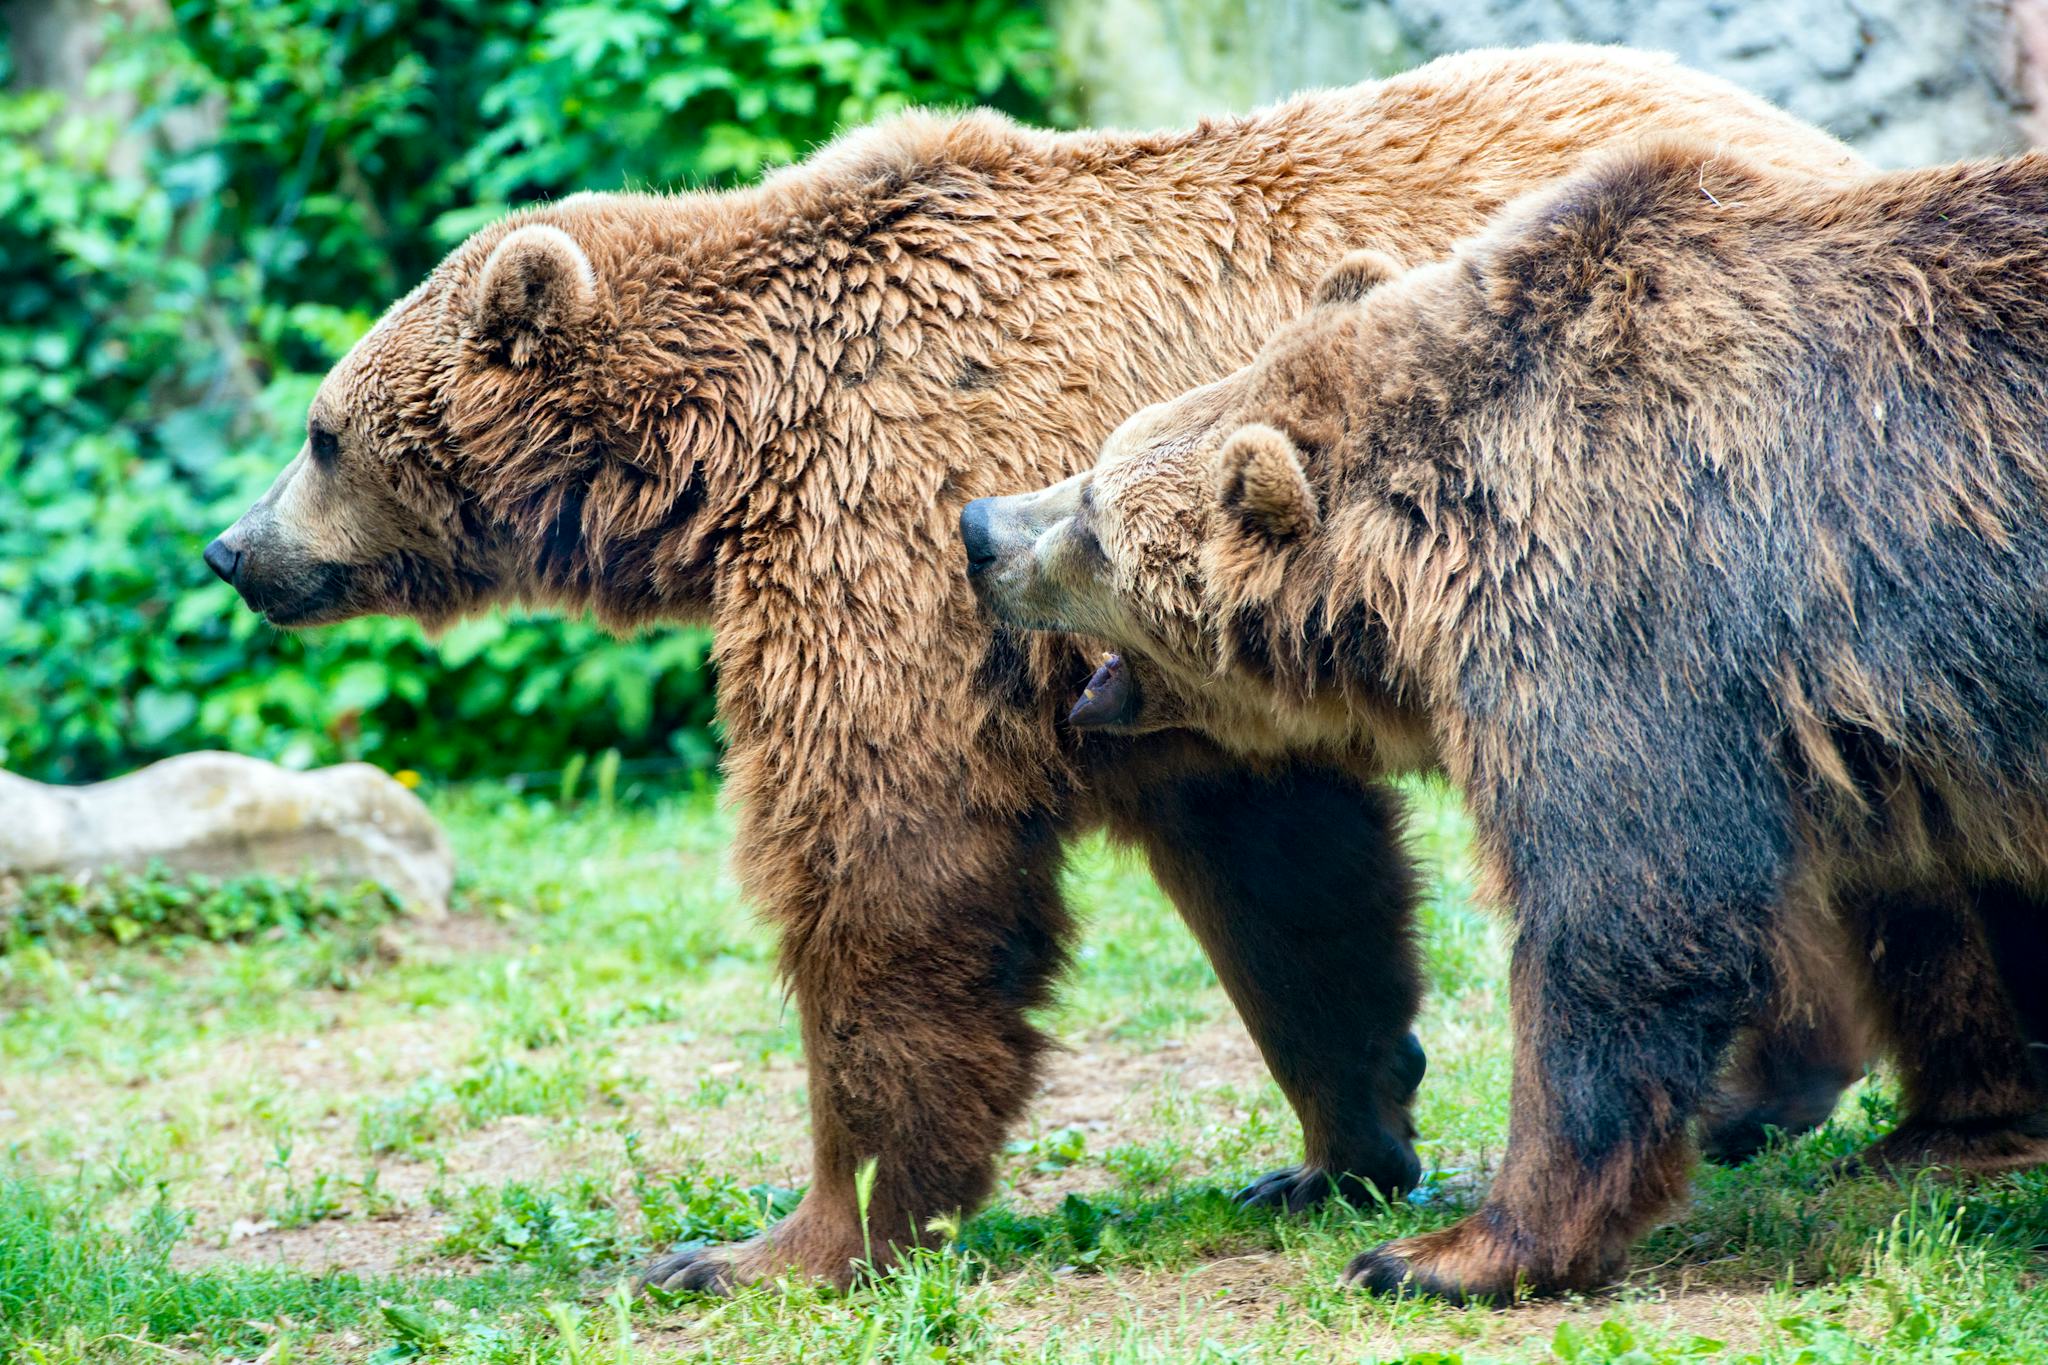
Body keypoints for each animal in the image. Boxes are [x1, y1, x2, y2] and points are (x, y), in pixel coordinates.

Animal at [211, 45, 1875, 1293]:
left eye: (319, 430)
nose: (236, 550)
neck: (725, 446)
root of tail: (1816, 142)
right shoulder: (1164, 660)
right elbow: (1289, 877)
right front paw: (1334, 1142)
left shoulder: (894, 535)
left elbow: (889, 866)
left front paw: (785, 1235)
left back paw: (1764, 1082)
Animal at [962, 147, 2048, 1301]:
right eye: (1097, 458)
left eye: (1093, 521)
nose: (980, 529)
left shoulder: (1619, 614)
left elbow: (1623, 916)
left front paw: (1449, 1250)